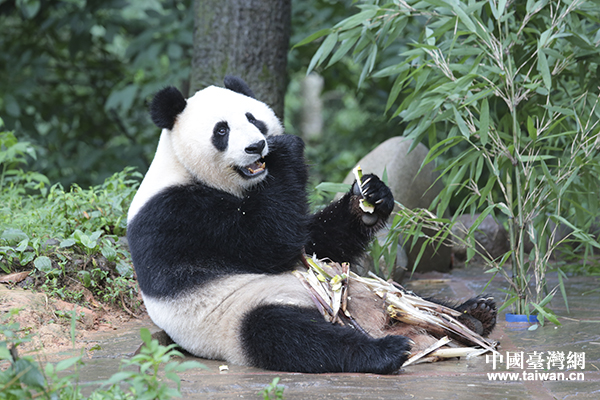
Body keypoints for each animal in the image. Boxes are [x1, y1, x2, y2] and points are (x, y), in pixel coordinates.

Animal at [127, 77, 496, 376]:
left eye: (253, 119)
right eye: (222, 130)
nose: (256, 146)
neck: (184, 168)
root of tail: (375, 321)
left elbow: (316, 242)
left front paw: (370, 198)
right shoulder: (176, 214)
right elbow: (268, 243)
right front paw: (286, 151)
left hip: (371, 289)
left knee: (409, 297)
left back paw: (473, 315)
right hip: (236, 316)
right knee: (290, 335)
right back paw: (385, 351)